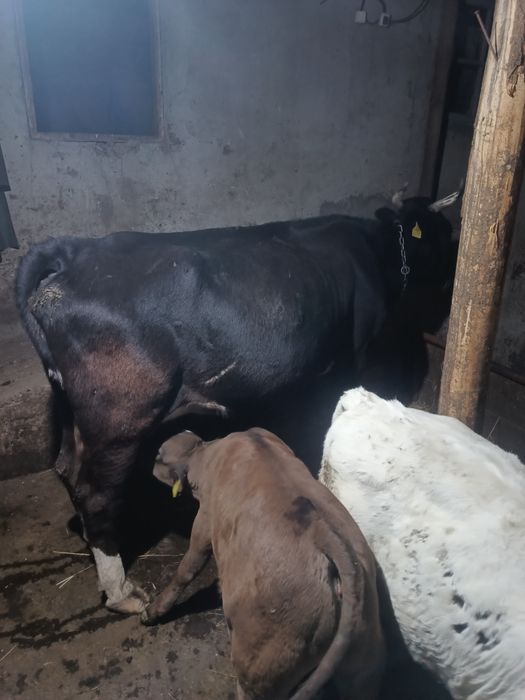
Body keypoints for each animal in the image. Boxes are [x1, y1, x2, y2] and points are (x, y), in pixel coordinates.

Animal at [15, 190, 458, 613]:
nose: (449, 282)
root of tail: (73, 251)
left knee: (67, 470)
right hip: (120, 417)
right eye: (444, 233)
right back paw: (120, 590)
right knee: (97, 495)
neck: (375, 249)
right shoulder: (354, 358)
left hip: (74, 413)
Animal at [143, 428, 388, 700]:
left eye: (158, 454)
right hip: (363, 663)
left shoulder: (205, 519)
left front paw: (152, 611)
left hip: (262, 664)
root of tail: (323, 534)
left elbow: (187, 568)